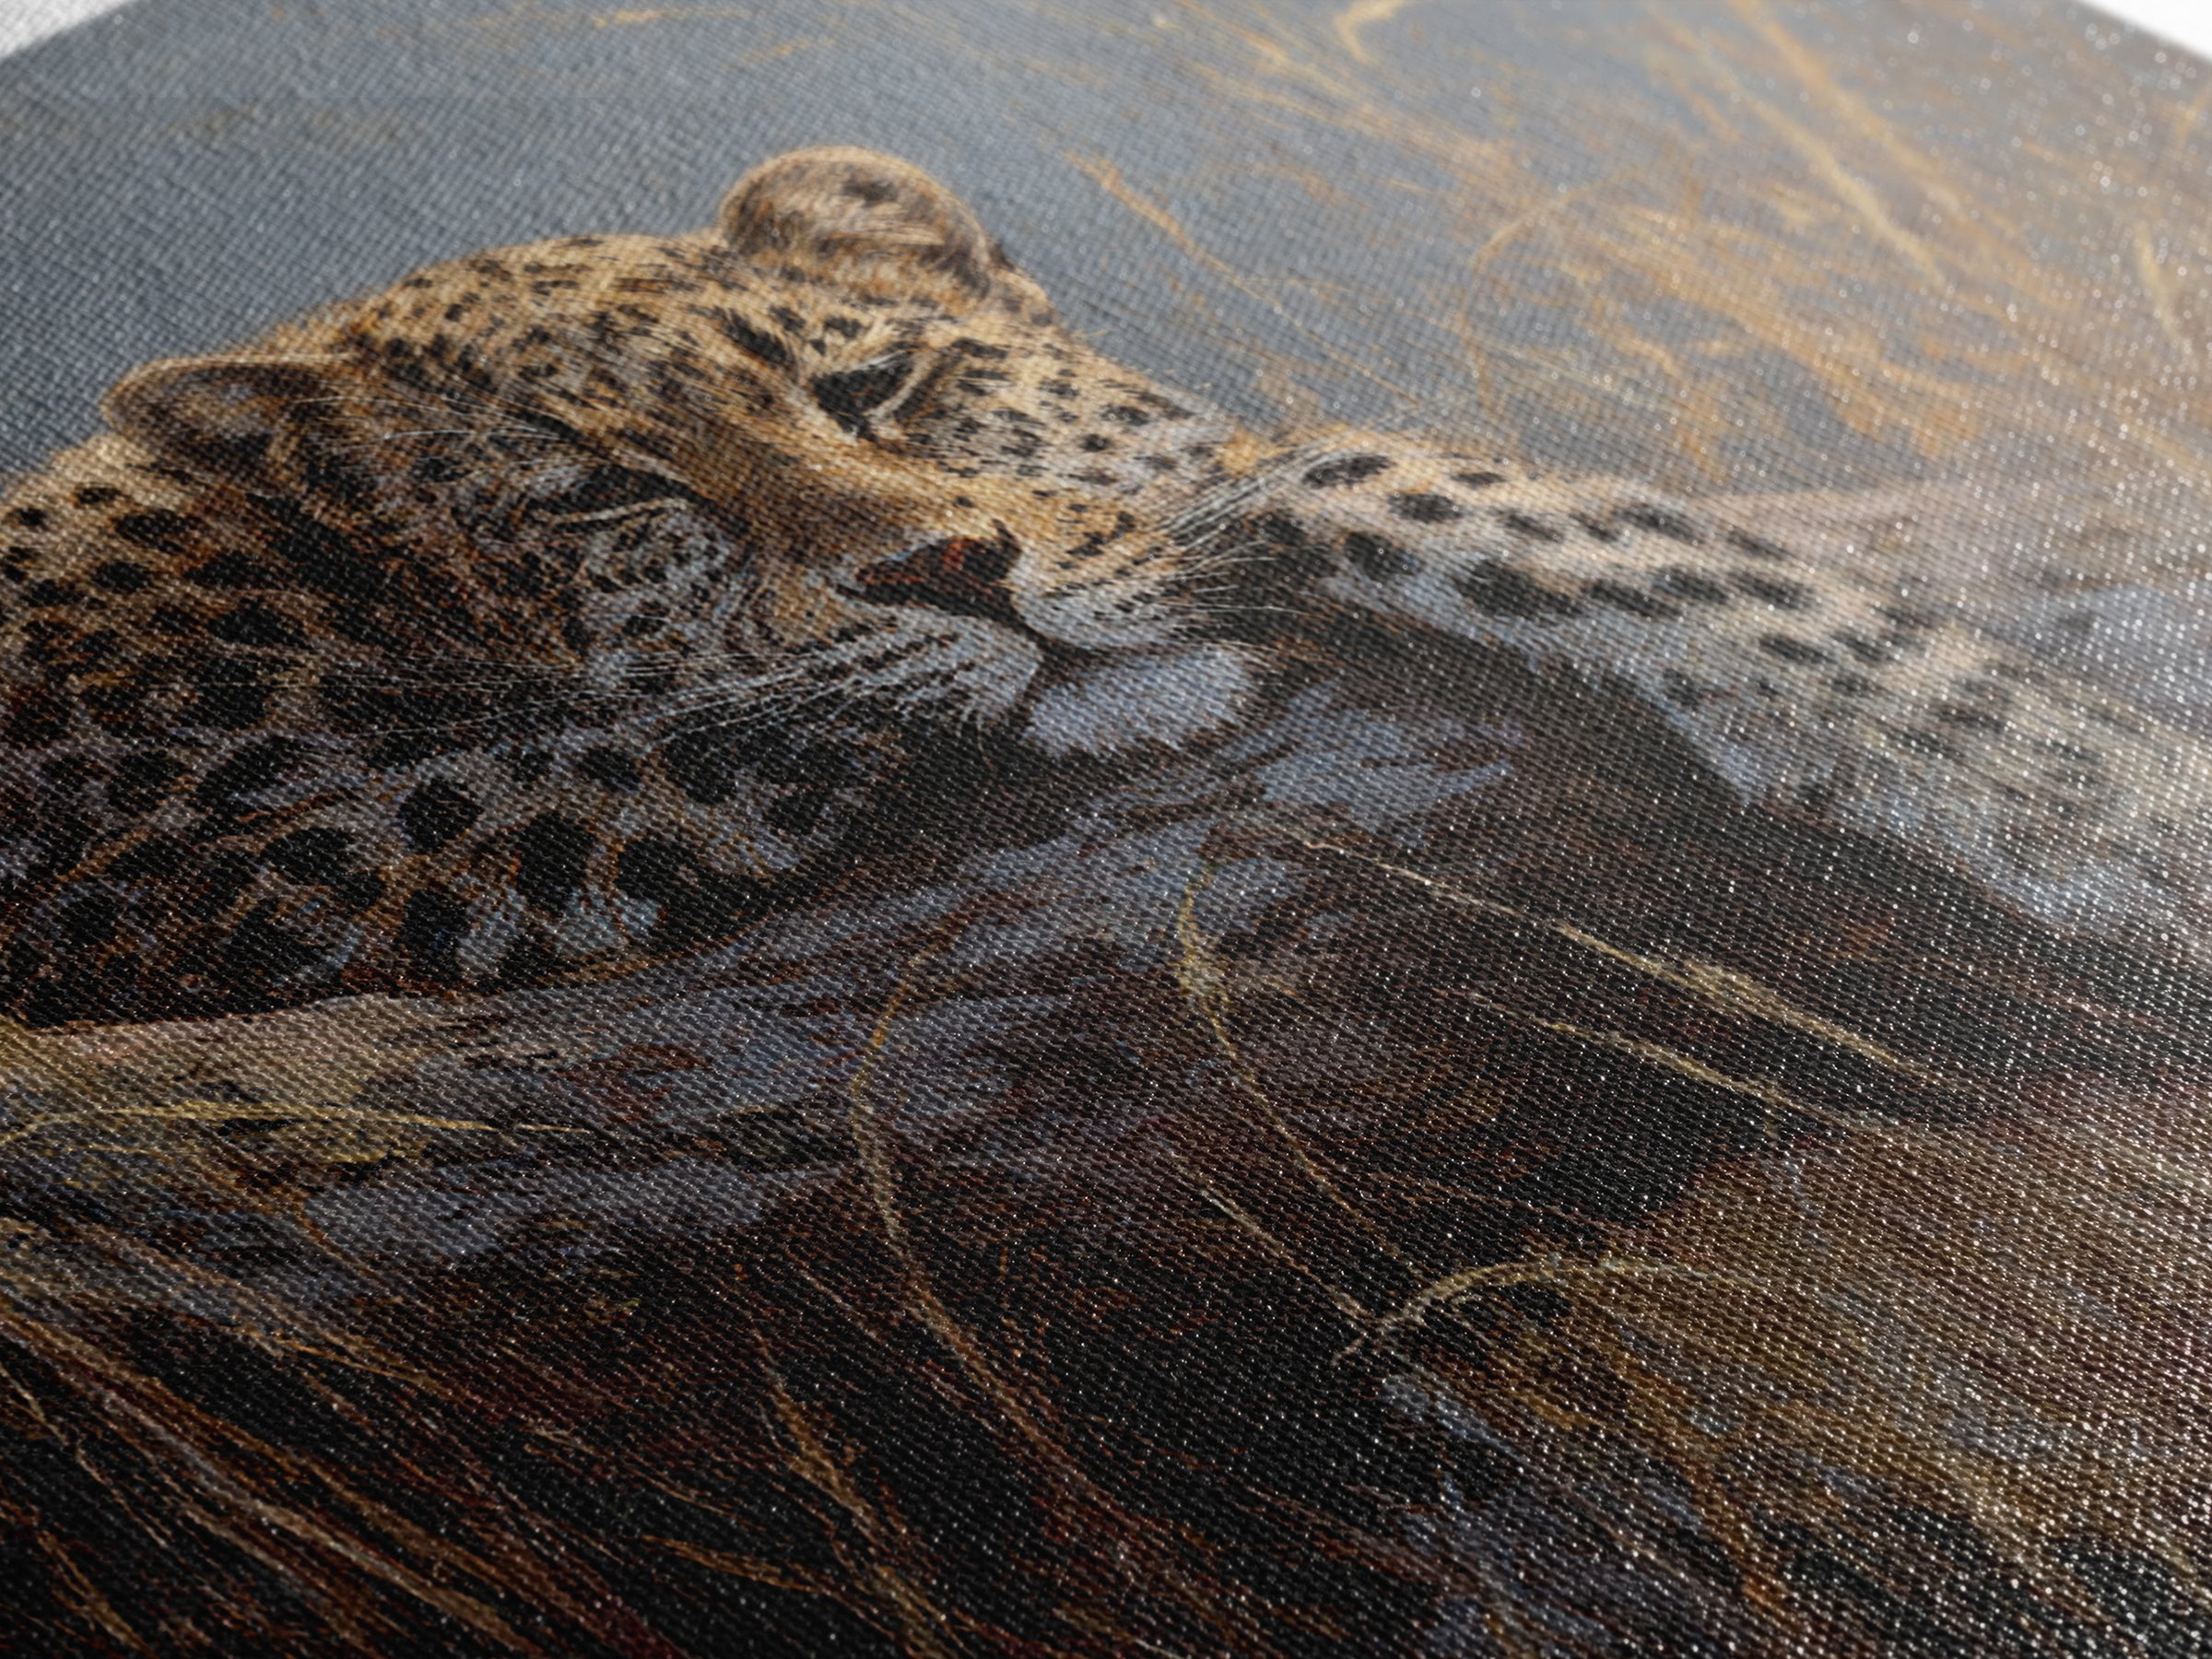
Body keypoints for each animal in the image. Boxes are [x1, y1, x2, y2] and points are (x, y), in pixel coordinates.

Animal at [1, 144, 2207, 1027]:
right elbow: (1358, 475)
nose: (958, 567)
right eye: (614, 495)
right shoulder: (205, 869)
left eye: (874, 383)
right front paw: (2092, 793)